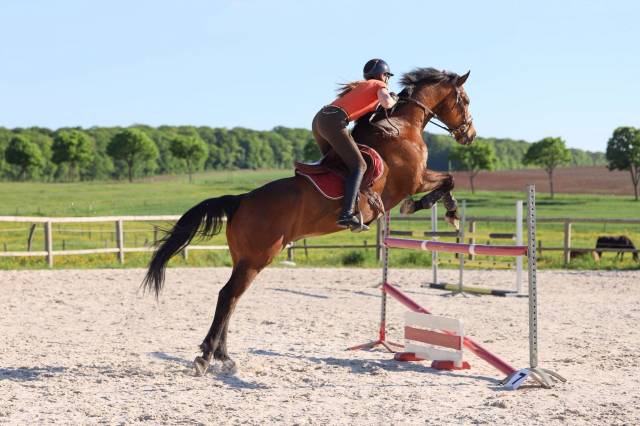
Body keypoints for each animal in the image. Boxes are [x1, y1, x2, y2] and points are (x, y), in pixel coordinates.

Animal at [143, 67, 477, 375]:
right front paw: (437, 209)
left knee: (232, 298)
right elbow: (446, 180)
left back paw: (224, 357)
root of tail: (241, 199)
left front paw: (449, 211)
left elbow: (447, 181)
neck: (403, 127)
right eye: (466, 100)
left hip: (244, 258)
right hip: (257, 257)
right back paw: (206, 356)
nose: (469, 135)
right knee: (228, 296)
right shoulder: (414, 180)